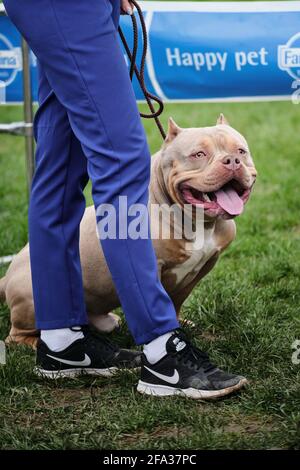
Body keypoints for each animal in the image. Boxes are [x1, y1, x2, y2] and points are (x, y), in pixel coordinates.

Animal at [0, 115, 258, 346]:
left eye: (241, 151)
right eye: (199, 155)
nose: (232, 161)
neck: (199, 222)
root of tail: (6, 276)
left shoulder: (202, 267)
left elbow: (176, 300)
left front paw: (179, 326)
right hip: (35, 300)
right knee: (16, 336)